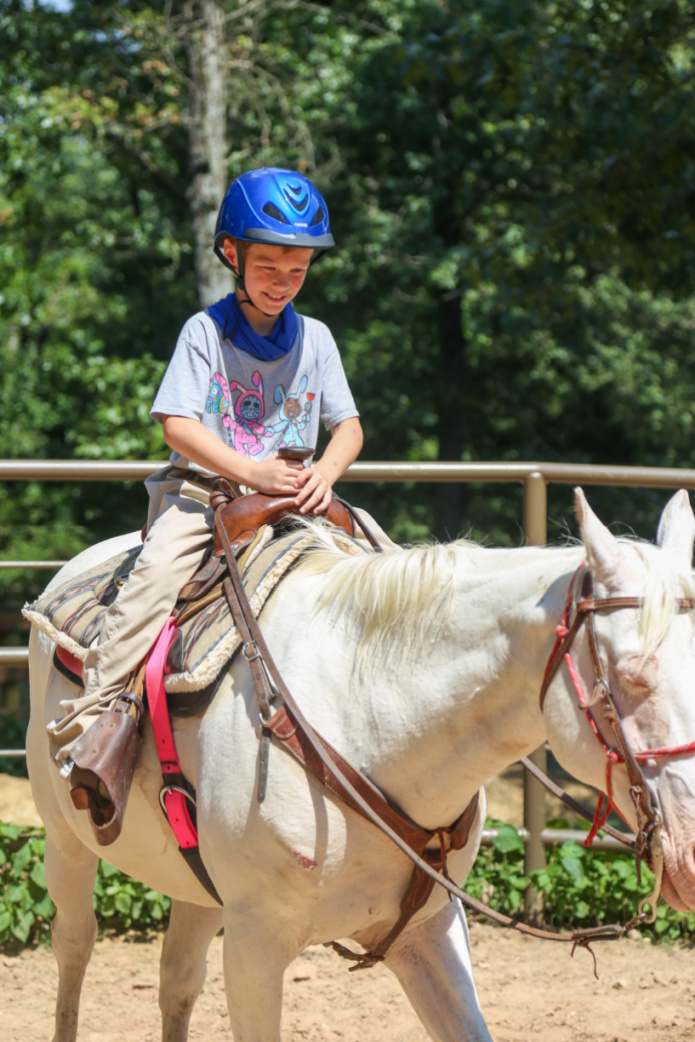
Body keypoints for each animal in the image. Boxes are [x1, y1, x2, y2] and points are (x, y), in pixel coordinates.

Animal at [24, 489, 695, 1042]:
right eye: (633, 675)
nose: (688, 856)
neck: (368, 718)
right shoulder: (254, 948)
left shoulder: (429, 932)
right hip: (66, 843)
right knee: (75, 945)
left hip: (200, 888)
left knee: (177, 981)